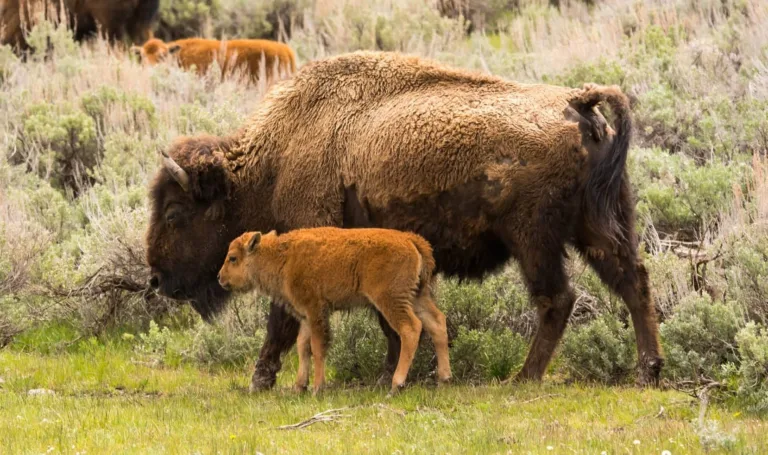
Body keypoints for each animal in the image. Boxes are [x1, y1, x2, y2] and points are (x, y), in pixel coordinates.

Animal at [145, 51, 663, 391]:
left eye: (174, 213)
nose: (156, 278)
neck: (276, 157)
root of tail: (580, 104)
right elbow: (387, 322)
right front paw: (388, 375)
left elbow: (285, 319)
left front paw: (260, 381)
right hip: (600, 225)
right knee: (633, 282)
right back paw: (649, 371)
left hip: (534, 239)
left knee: (557, 298)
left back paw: (523, 377)